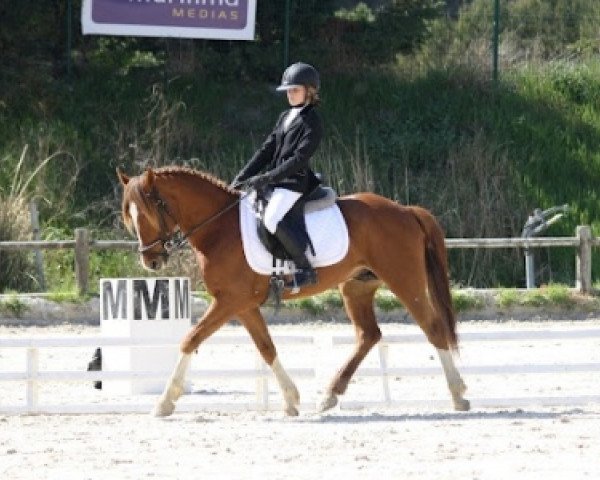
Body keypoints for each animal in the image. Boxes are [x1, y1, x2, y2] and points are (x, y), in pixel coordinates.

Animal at [117, 165, 472, 416]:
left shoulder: (229, 301)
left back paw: (458, 394)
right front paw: (290, 400)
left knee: (433, 327)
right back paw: (329, 395)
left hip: (404, 280)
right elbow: (266, 347)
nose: (151, 260)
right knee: (368, 335)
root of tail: (405, 210)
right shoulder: (243, 305)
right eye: (129, 215)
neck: (218, 228)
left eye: (149, 210)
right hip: (356, 287)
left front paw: (165, 402)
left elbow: (190, 339)